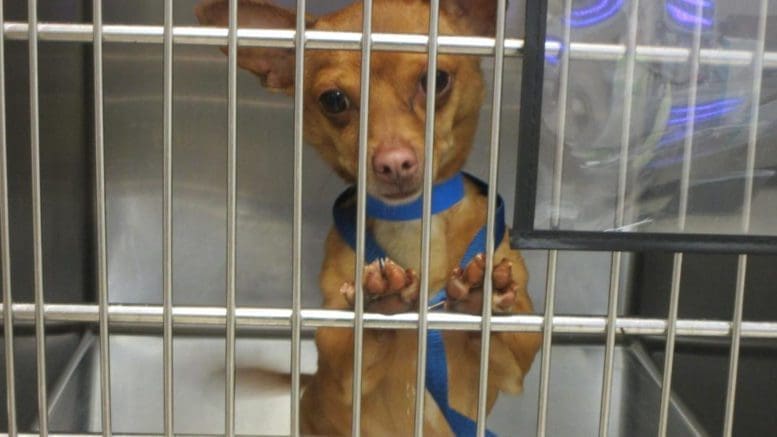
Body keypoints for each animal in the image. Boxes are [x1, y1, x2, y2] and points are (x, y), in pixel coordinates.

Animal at [194, 1, 540, 434]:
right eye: (334, 100)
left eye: (437, 80)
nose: (393, 163)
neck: (412, 222)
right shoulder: (339, 356)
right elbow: (355, 341)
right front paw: (380, 303)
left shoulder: (515, 360)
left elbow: (508, 333)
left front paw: (483, 296)